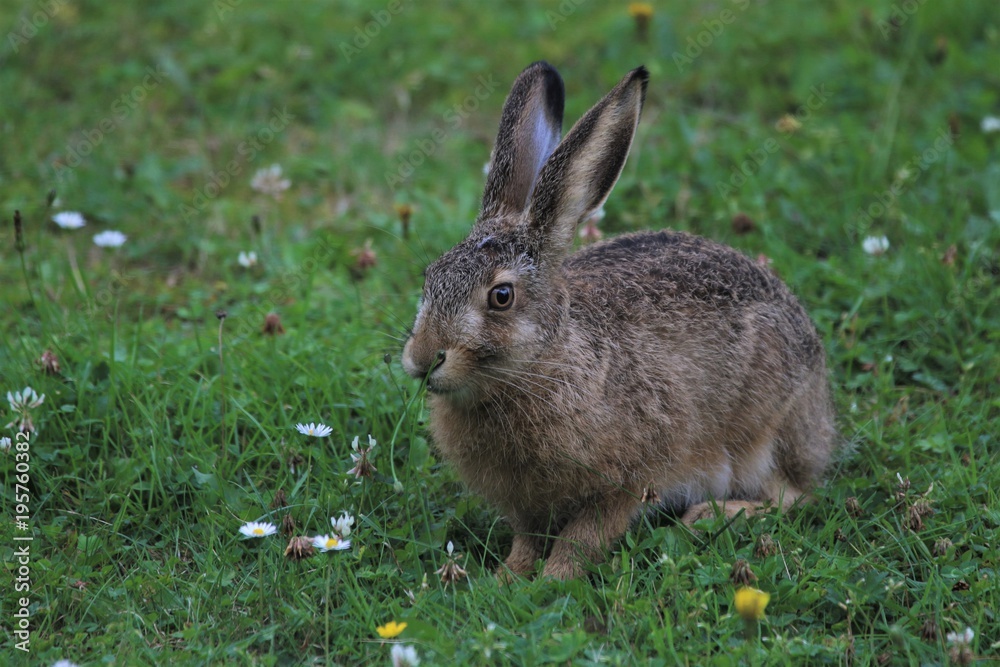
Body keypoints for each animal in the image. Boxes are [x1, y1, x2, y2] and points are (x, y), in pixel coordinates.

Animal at [402, 62, 837, 580]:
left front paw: (553, 581)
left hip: (766, 434)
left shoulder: (630, 480)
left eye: (501, 296)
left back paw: (710, 516)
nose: (421, 359)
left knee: (794, 496)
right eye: (430, 276)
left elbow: (585, 538)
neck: (543, 364)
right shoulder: (526, 505)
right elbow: (527, 539)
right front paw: (507, 579)